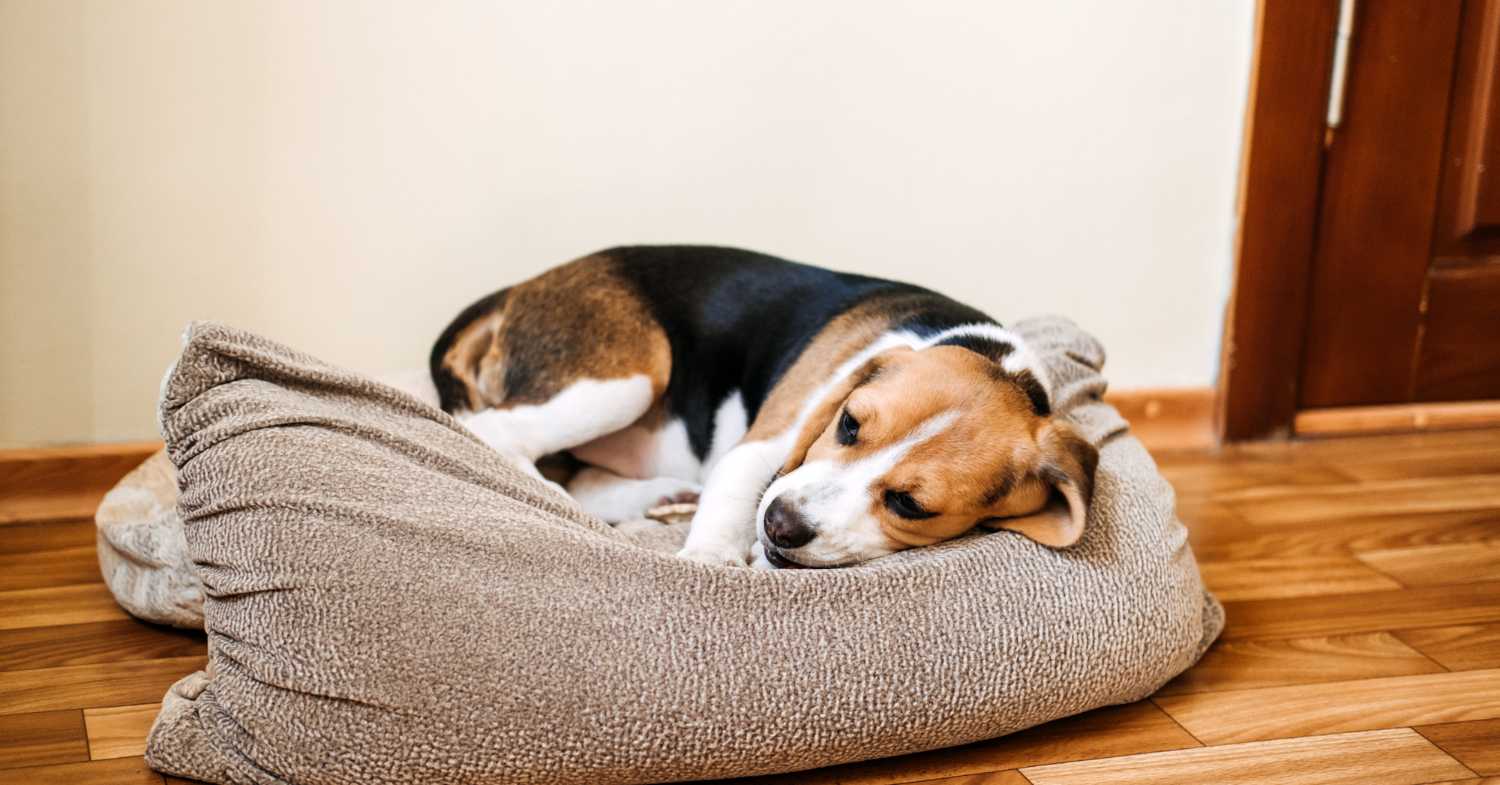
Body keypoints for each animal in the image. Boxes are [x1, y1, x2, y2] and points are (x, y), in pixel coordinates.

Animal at [429, 247, 1098, 570]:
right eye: (849, 423)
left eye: (910, 505)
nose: (780, 525)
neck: (997, 361)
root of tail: (517, 290)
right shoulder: (766, 446)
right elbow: (736, 487)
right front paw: (710, 558)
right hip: (628, 378)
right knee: (493, 431)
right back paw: (550, 500)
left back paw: (662, 497)